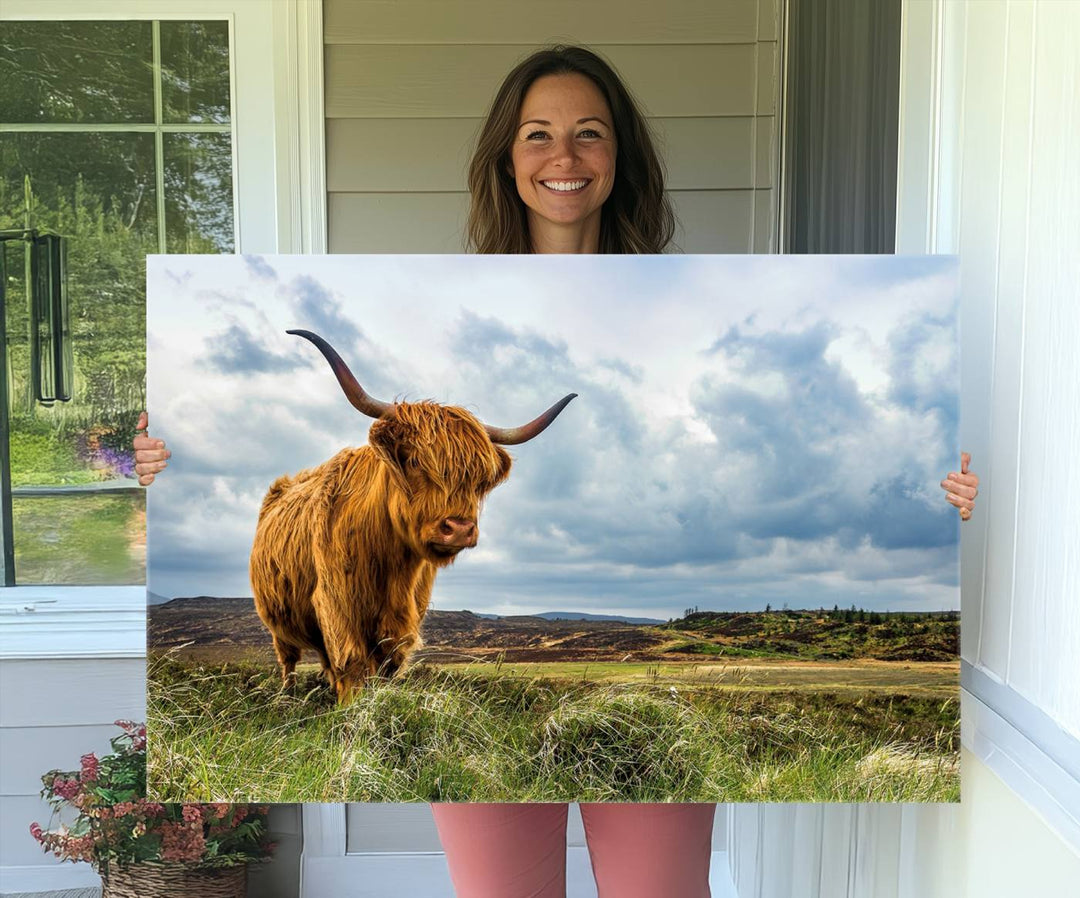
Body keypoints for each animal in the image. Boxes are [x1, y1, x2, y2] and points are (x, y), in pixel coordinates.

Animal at [249, 330, 578, 700]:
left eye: (479, 479)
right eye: (414, 460)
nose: (459, 528)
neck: (391, 564)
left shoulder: (406, 617)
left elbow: (386, 667)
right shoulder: (337, 603)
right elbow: (351, 664)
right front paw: (350, 708)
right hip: (278, 622)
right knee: (288, 659)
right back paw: (287, 696)